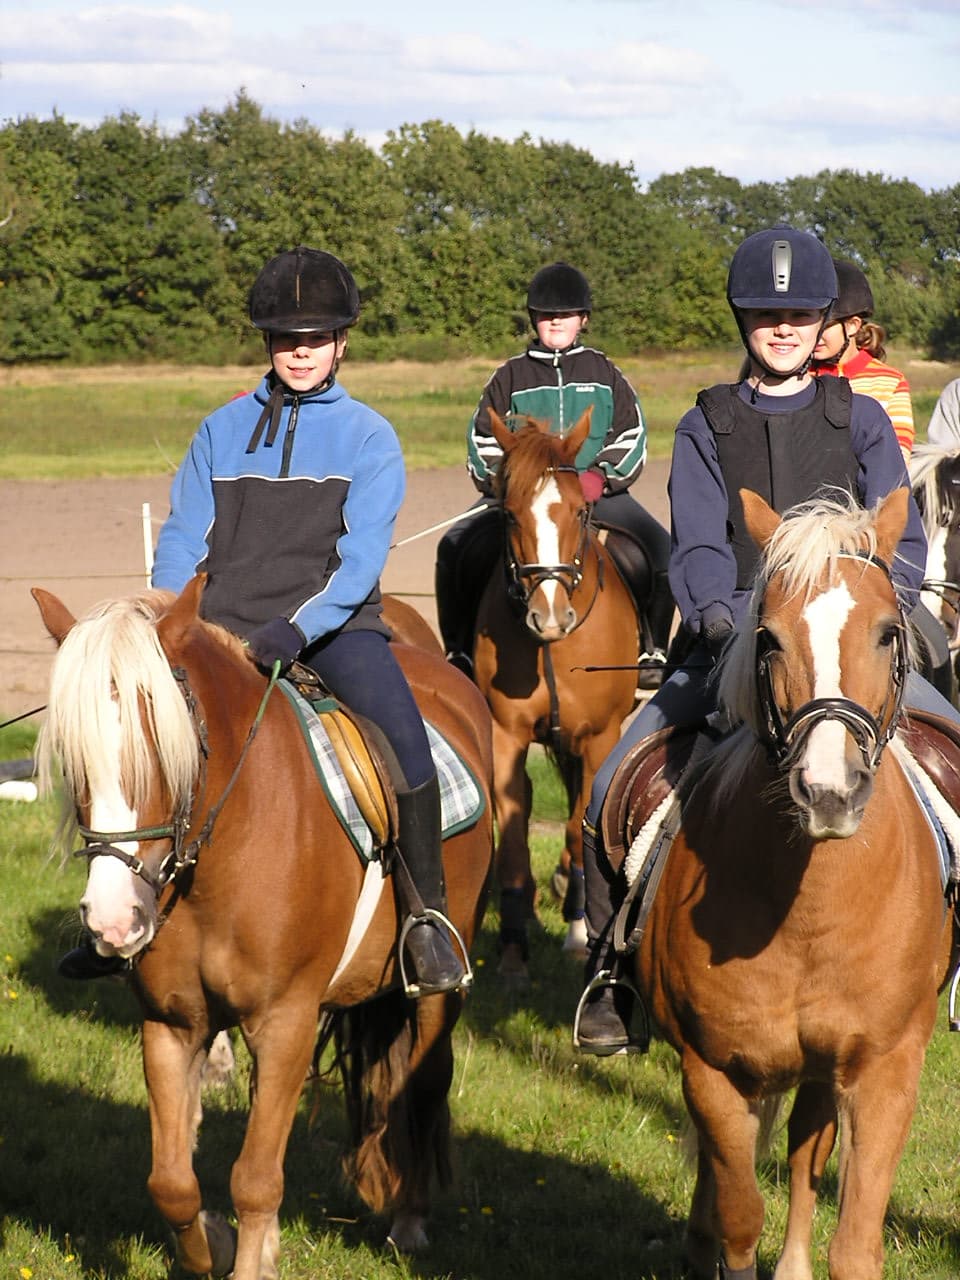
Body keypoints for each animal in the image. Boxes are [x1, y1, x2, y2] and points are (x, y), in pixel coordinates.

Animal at [473, 409, 640, 977]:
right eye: (509, 514)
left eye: (580, 510)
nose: (548, 616)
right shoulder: (505, 735)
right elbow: (513, 836)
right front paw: (513, 951)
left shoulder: (599, 737)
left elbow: (576, 825)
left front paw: (576, 930)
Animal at [609, 488, 957, 1280]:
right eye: (767, 638)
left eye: (888, 633)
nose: (829, 792)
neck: (811, 909)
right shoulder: (714, 1070)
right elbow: (739, 1218)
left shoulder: (885, 1066)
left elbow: (852, 1243)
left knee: (803, 1157)